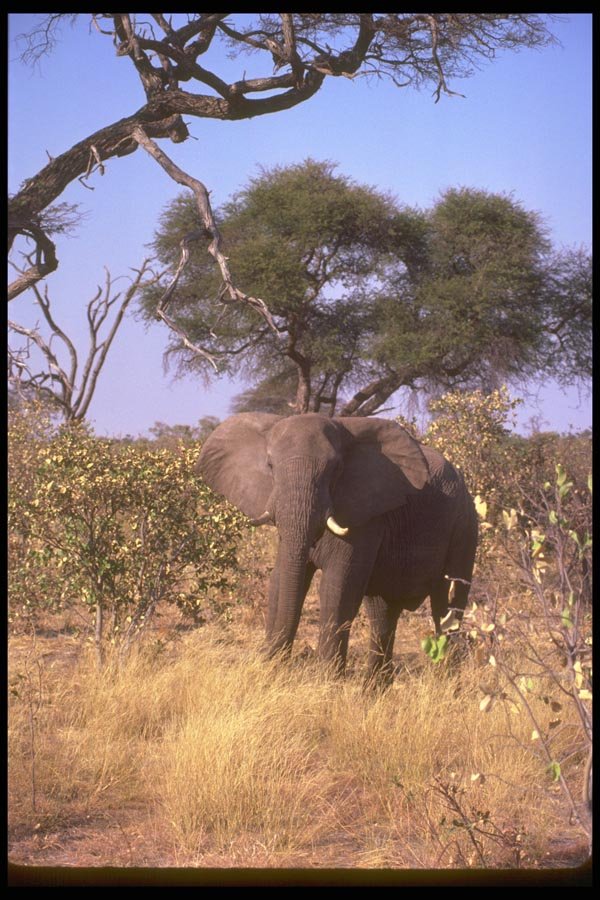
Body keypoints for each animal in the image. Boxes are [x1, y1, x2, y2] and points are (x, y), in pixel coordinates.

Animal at [197, 412, 478, 682]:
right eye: (270, 466)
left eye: (336, 469)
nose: (275, 664)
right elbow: (280, 581)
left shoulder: (366, 516)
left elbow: (337, 587)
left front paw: (326, 684)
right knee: (382, 612)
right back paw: (372, 692)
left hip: (465, 526)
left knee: (447, 605)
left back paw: (446, 685)